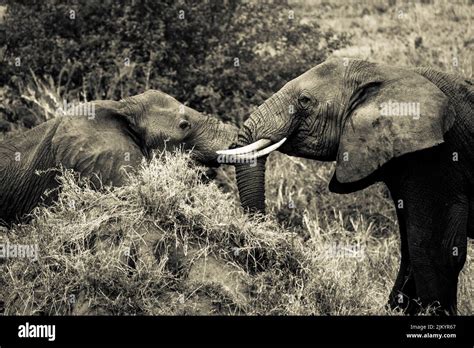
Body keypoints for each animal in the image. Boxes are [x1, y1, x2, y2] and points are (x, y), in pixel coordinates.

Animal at [219, 57, 474, 316]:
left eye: (304, 101)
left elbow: (437, 252)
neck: (386, 72)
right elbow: (412, 251)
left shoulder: (437, 159)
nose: (256, 251)